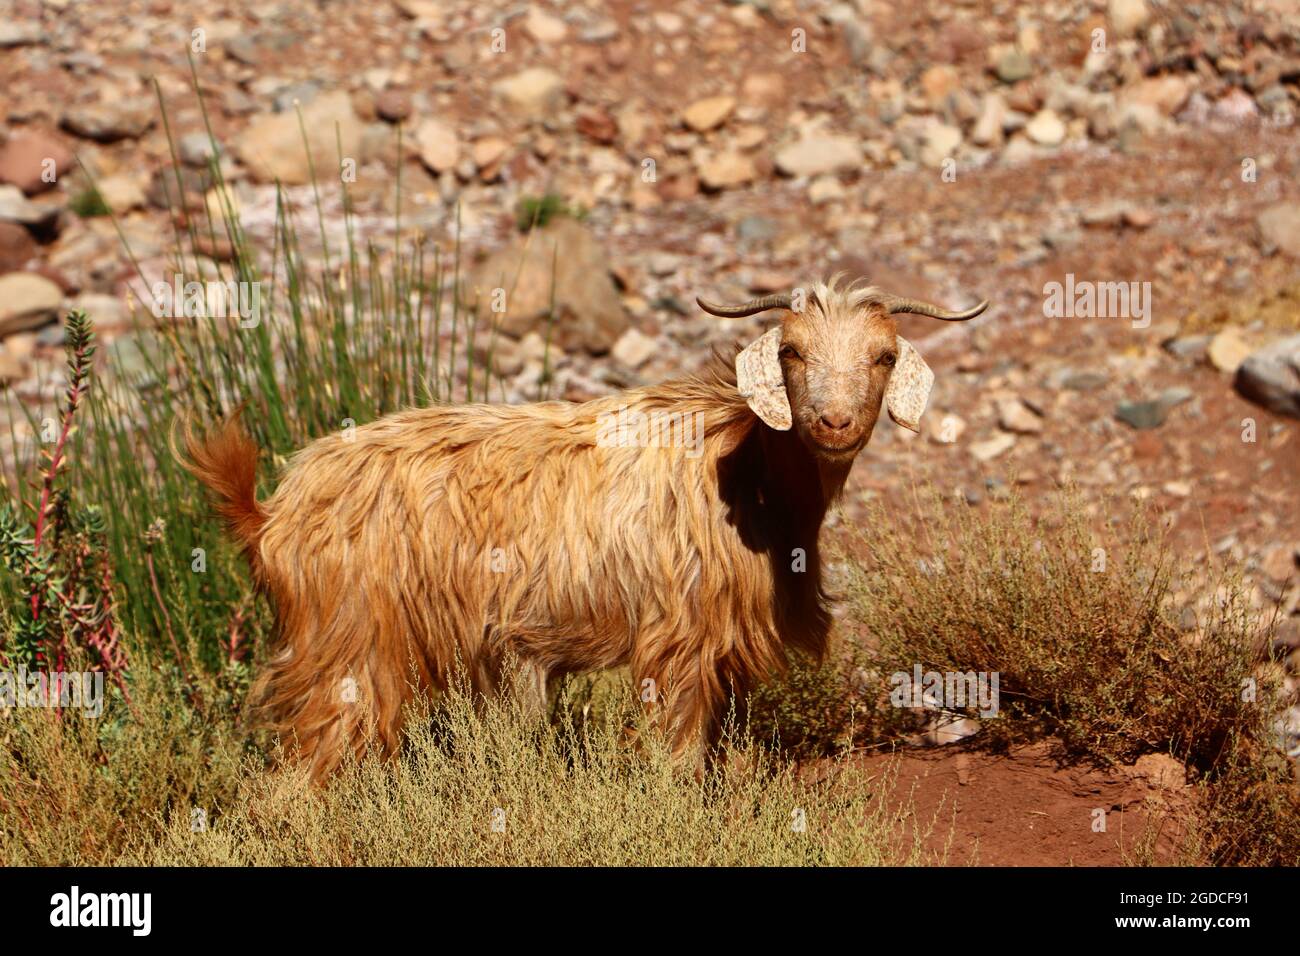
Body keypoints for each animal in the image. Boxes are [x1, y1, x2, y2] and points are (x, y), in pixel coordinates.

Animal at [184, 275, 988, 780]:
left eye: (883, 355)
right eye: (790, 351)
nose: (833, 421)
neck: (739, 464)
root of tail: (272, 511)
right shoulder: (677, 637)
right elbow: (675, 754)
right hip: (348, 646)